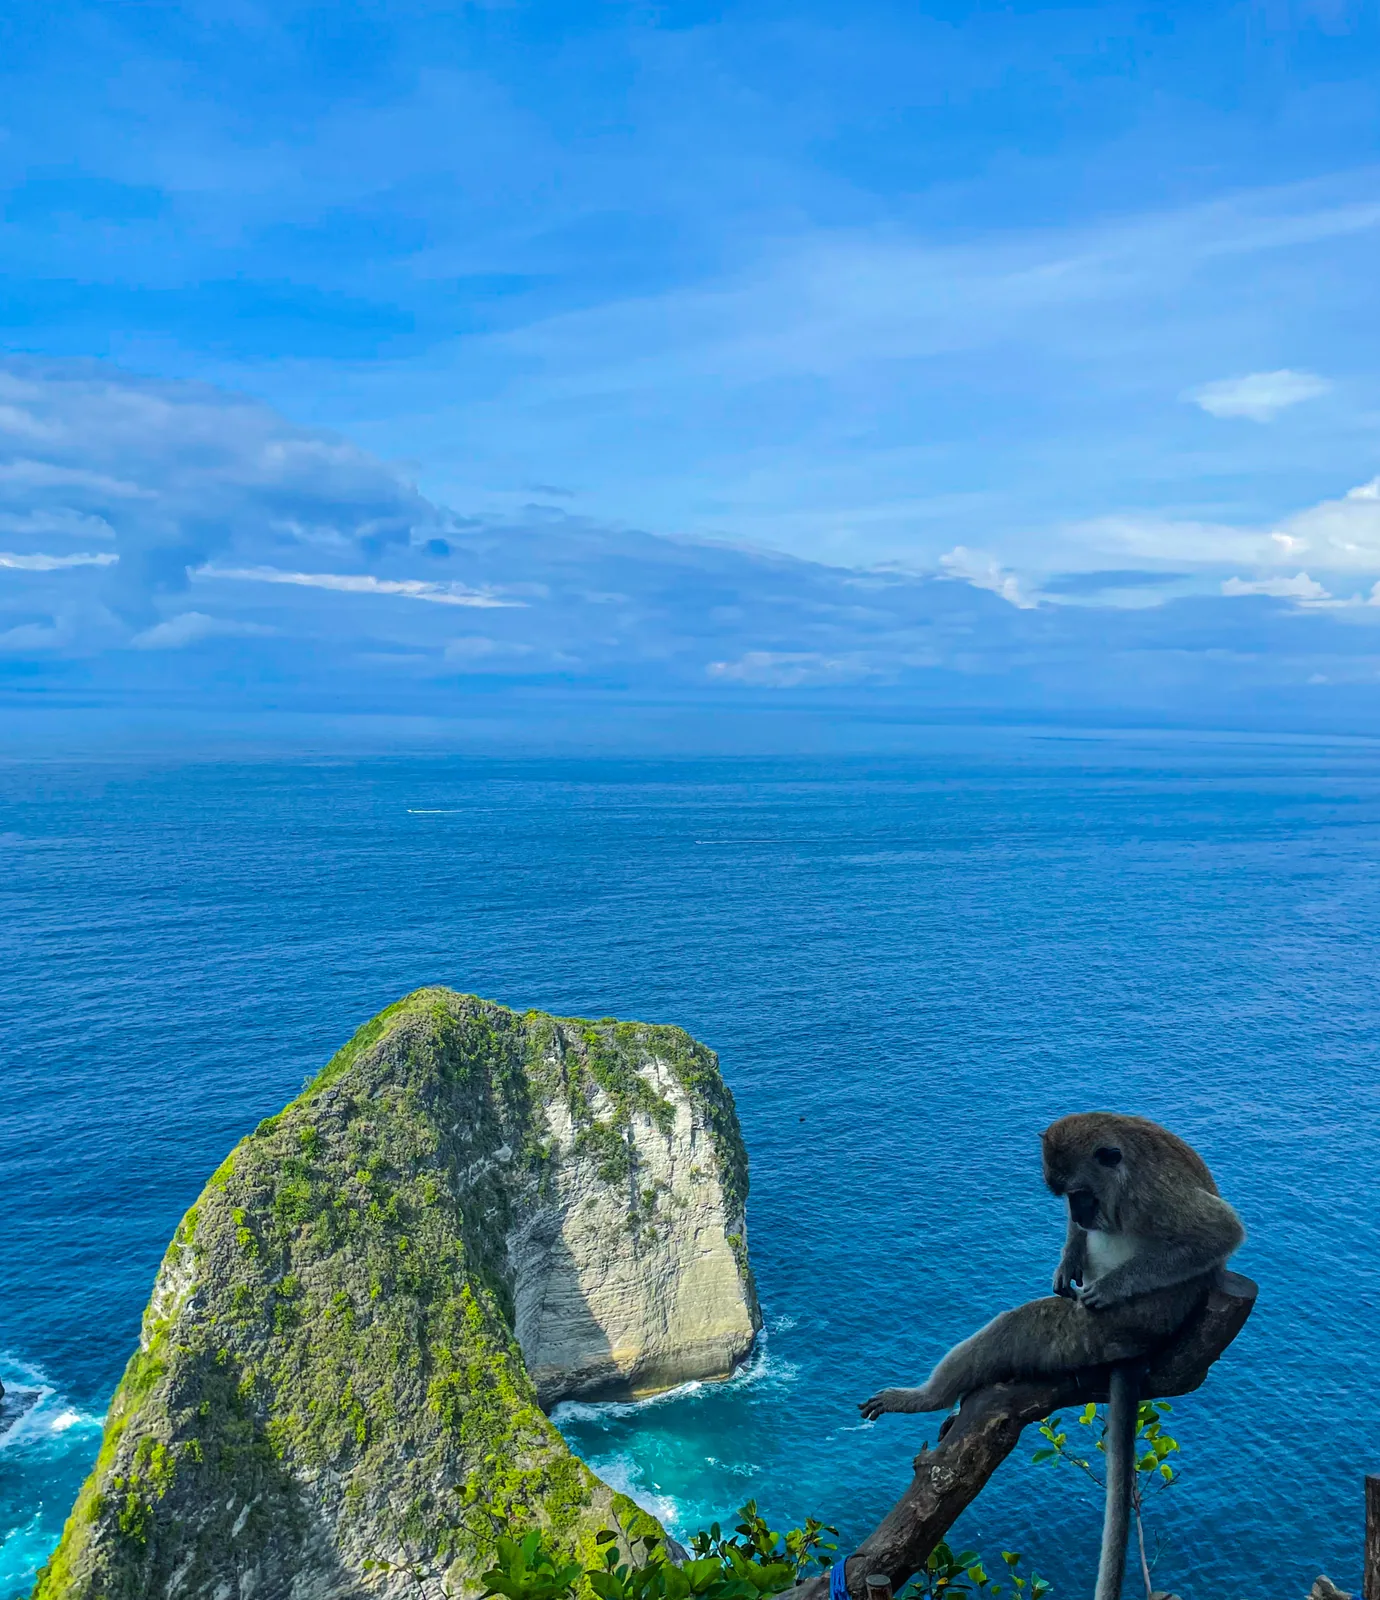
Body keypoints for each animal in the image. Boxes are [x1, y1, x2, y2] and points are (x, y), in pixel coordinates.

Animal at [858, 1114, 1244, 1600]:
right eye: (1066, 1197)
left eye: (1080, 1193)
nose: (1078, 1214)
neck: (1123, 1178)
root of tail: (1139, 1350)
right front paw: (1068, 1259)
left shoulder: (1155, 1193)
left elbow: (1220, 1233)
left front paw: (1111, 1286)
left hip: (1105, 1331)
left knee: (1020, 1326)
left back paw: (926, 1397)